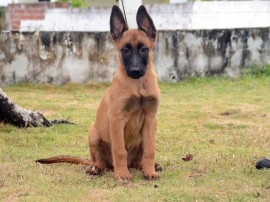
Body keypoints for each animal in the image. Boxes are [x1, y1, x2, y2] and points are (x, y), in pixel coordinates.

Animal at [37, 5, 161, 180]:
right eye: (125, 50)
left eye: (144, 49)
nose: (135, 71)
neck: (138, 86)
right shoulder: (117, 119)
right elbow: (119, 150)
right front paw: (122, 174)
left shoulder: (151, 120)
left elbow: (150, 150)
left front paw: (150, 171)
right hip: (93, 134)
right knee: (101, 162)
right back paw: (96, 168)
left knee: (138, 160)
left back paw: (146, 166)